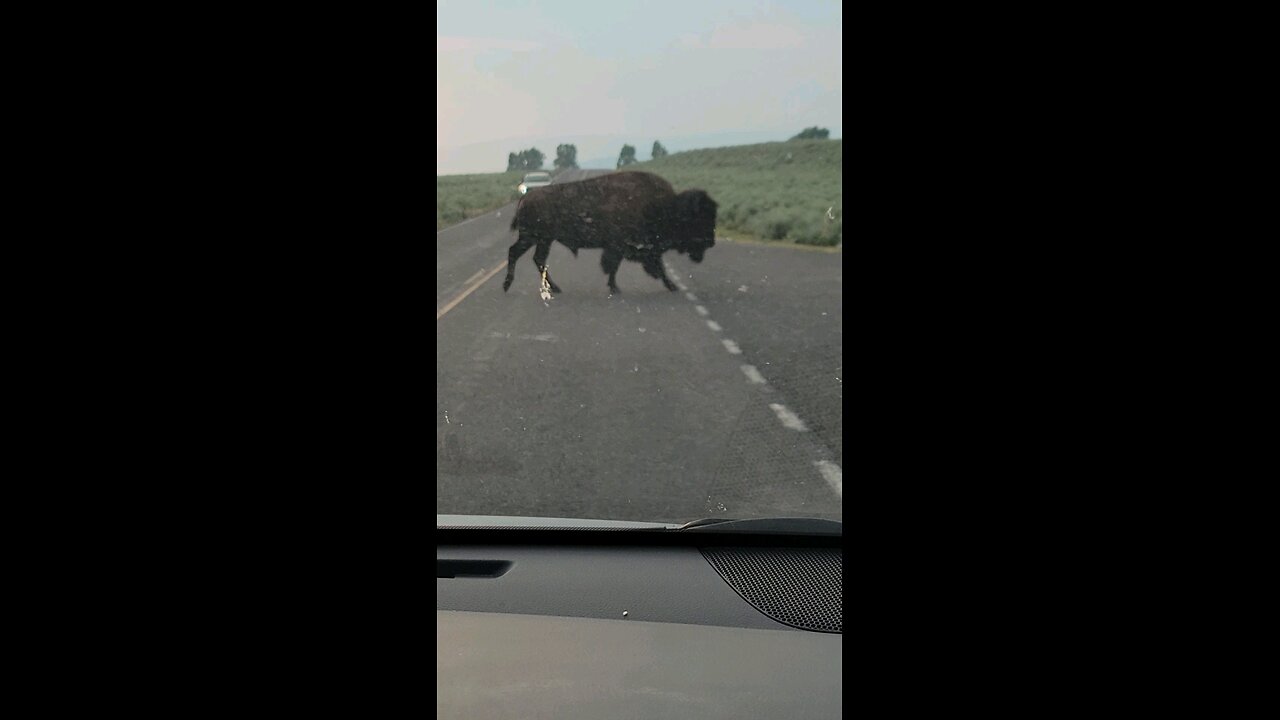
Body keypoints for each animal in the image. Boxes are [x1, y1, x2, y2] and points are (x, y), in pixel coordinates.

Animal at [501, 169, 721, 293]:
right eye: (698, 219)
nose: (711, 242)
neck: (663, 206)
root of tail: (526, 197)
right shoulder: (624, 246)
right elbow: (620, 265)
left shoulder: (630, 248)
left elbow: (620, 266)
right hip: (533, 237)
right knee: (516, 253)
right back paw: (508, 285)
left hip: (543, 240)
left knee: (536, 259)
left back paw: (554, 288)